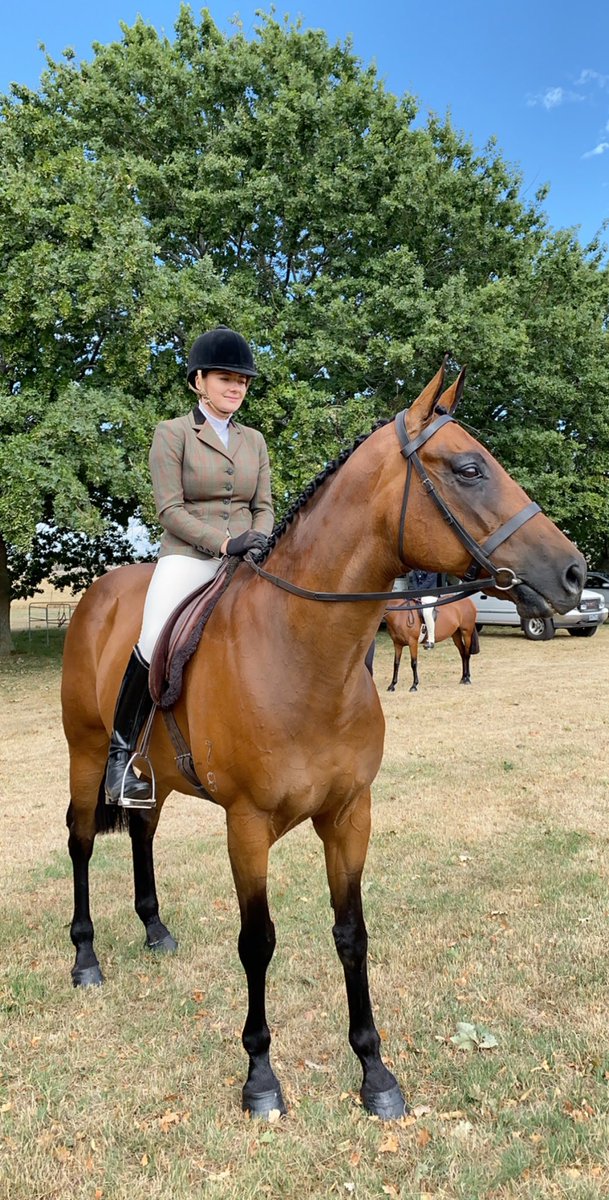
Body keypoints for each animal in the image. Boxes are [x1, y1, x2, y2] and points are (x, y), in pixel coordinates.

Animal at [61, 363, 585, 1121]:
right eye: (468, 469)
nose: (574, 574)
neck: (305, 657)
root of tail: (99, 596)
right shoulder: (247, 826)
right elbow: (257, 943)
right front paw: (260, 1079)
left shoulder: (349, 815)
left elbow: (351, 934)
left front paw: (375, 1073)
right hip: (83, 753)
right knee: (79, 843)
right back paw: (86, 960)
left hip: (151, 773)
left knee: (142, 831)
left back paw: (155, 931)